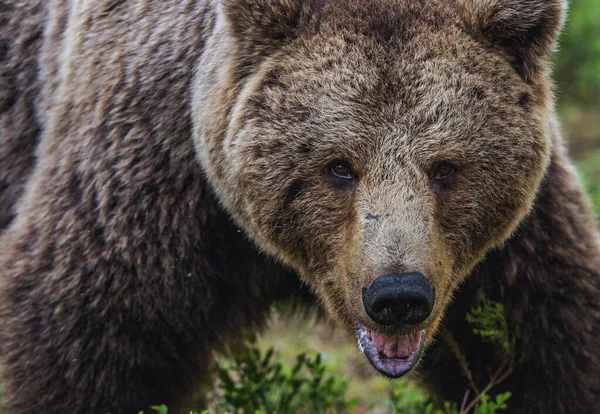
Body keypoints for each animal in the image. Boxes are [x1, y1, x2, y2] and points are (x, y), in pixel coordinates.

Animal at [0, 0, 596, 412]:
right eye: (339, 166)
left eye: (445, 167)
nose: (398, 296)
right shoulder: (152, 172)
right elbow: (84, 338)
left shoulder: (509, 248)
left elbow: (548, 338)